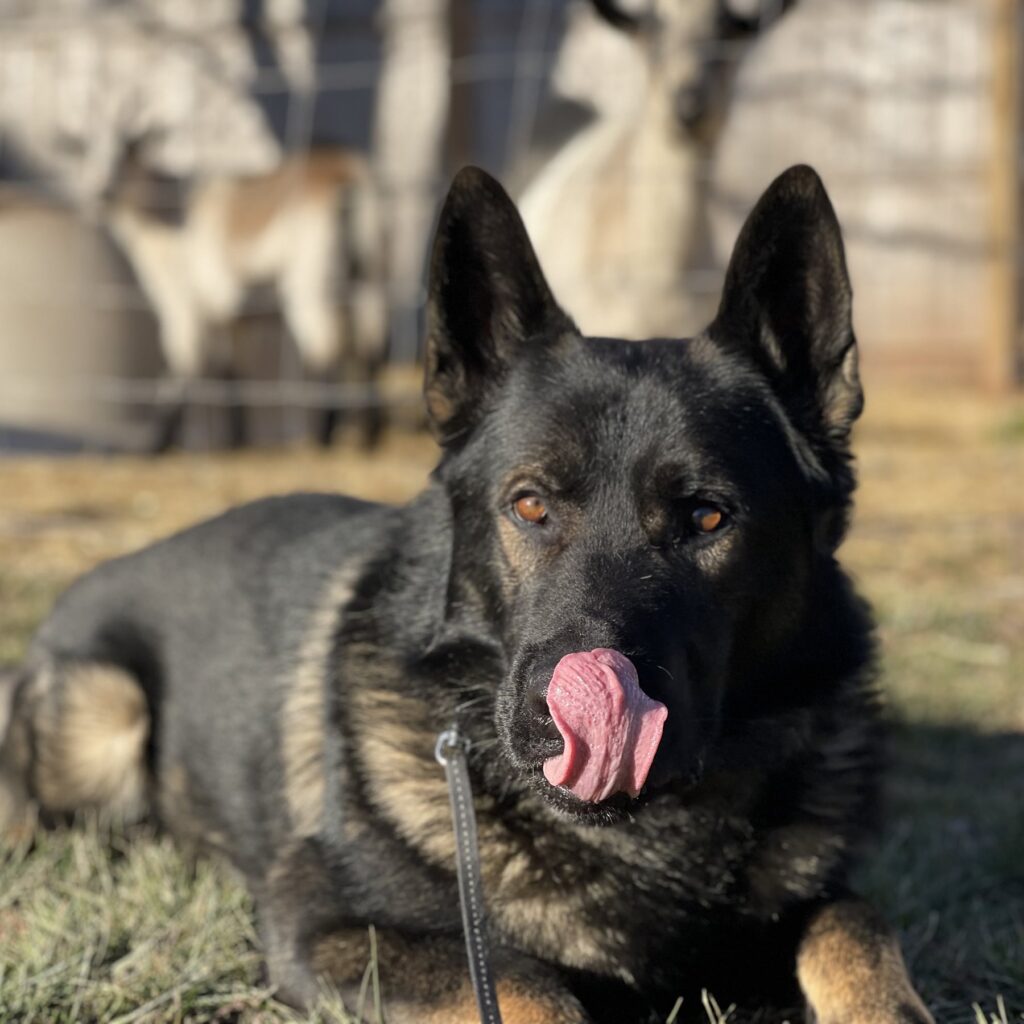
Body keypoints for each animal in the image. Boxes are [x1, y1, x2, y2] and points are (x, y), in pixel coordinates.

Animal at [107, 146, 387, 450]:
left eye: (125, 159)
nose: (106, 193)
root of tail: (347, 175)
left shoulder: (186, 307)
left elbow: (184, 363)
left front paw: (157, 440)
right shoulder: (233, 319)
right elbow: (231, 370)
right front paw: (237, 438)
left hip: (311, 282)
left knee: (327, 349)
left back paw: (324, 435)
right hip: (369, 275)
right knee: (371, 346)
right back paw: (370, 433)